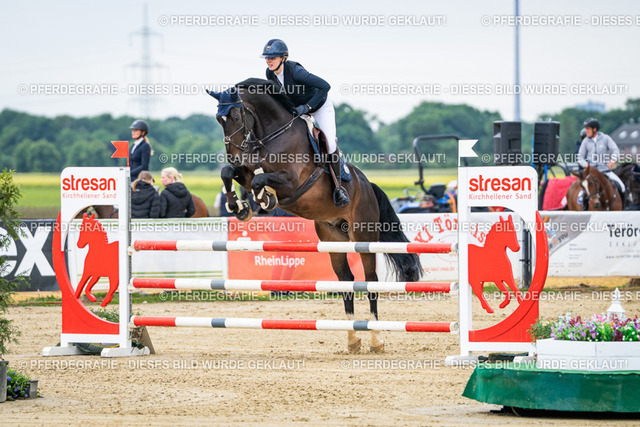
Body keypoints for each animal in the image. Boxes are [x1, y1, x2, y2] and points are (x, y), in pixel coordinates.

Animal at [207, 78, 422, 353]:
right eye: (218, 118)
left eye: (235, 115)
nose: (233, 155)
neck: (271, 135)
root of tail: (367, 185)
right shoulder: (245, 171)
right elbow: (230, 173)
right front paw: (241, 207)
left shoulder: (291, 182)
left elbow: (259, 180)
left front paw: (264, 199)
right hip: (333, 237)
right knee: (347, 281)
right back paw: (353, 339)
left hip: (363, 235)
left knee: (370, 281)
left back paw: (376, 340)